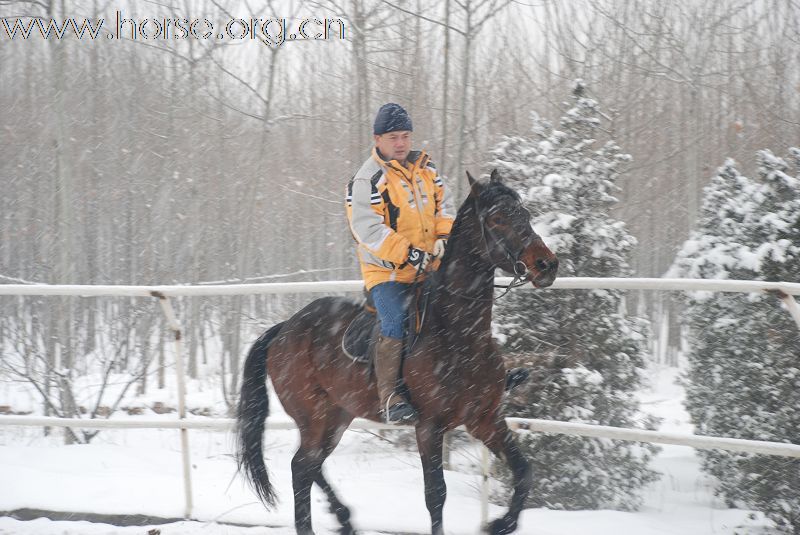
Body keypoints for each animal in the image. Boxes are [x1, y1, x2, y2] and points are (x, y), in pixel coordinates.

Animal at [239, 170, 556, 532]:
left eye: (526, 214)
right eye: (498, 219)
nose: (546, 264)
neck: (460, 333)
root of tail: (285, 328)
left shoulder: (485, 419)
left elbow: (524, 471)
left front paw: (500, 523)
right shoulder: (429, 427)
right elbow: (436, 494)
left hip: (338, 415)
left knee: (309, 465)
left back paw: (344, 519)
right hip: (313, 417)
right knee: (301, 467)